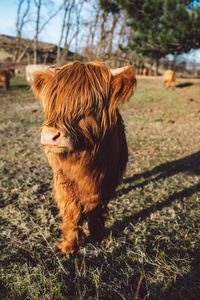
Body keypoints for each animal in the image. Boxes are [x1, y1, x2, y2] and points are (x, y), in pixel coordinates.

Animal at [31, 62, 137, 254]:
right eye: (52, 103)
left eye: (88, 108)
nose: (50, 136)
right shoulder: (63, 179)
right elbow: (72, 210)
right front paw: (69, 245)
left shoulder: (107, 180)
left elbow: (97, 207)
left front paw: (97, 235)